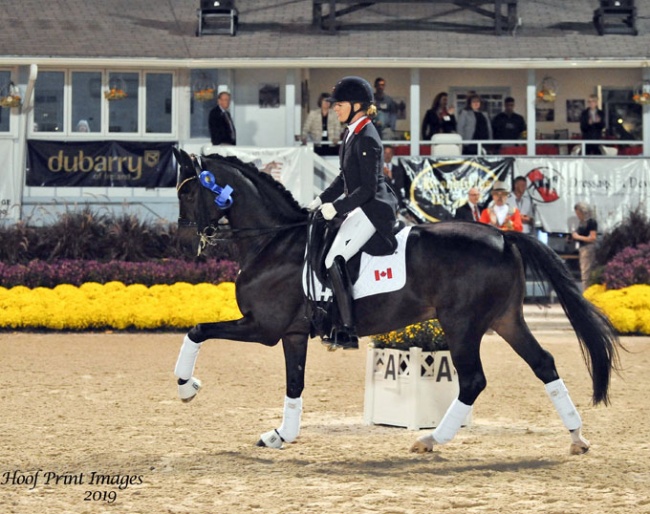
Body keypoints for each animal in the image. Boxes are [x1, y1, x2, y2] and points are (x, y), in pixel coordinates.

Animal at [171, 147, 616, 452]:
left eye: (189, 194)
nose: (185, 243)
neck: (274, 242)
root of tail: (503, 235)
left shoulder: (263, 327)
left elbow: (197, 330)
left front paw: (187, 386)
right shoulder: (292, 333)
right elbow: (294, 383)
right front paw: (281, 434)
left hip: (463, 324)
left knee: (474, 379)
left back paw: (431, 439)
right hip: (505, 319)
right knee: (543, 363)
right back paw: (577, 436)